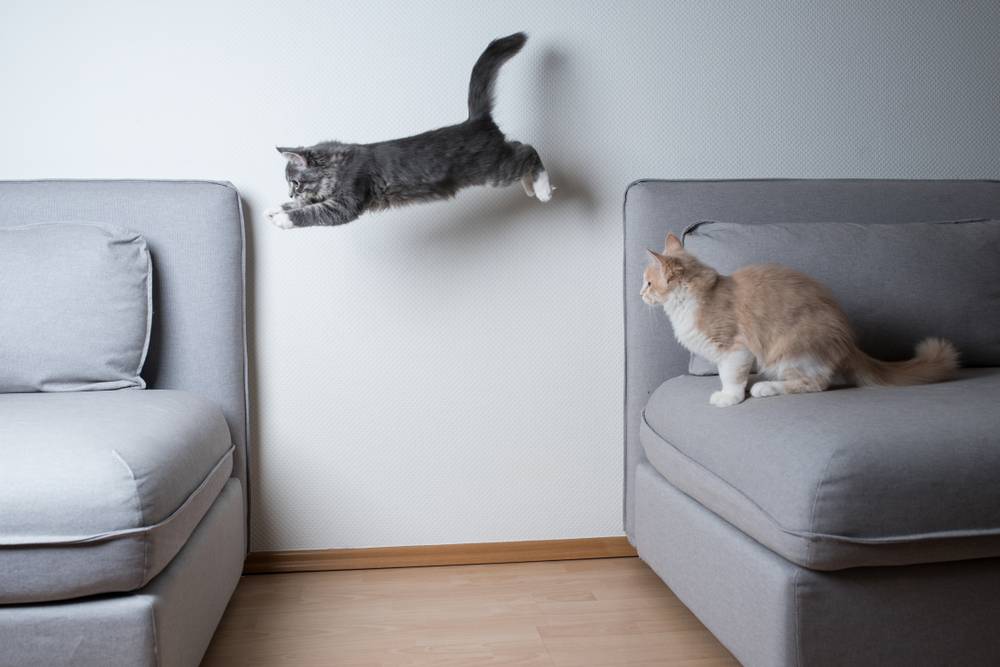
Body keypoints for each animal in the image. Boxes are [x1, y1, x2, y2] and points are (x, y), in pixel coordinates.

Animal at [266, 32, 552, 231]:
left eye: (295, 182)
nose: (290, 193)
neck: (339, 166)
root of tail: (476, 120)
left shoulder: (346, 202)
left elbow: (310, 212)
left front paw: (284, 217)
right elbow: (308, 203)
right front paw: (277, 207)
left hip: (495, 169)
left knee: (528, 151)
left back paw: (542, 189)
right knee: (521, 151)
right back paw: (530, 187)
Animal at [640, 235, 960, 408]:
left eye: (648, 283)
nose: (640, 293)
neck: (696, 297)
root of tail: (849, 341)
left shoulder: (735, 348)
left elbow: (730, 376)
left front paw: (729, 397)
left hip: (791, 349)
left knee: (816, 383)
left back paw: (764, 388)